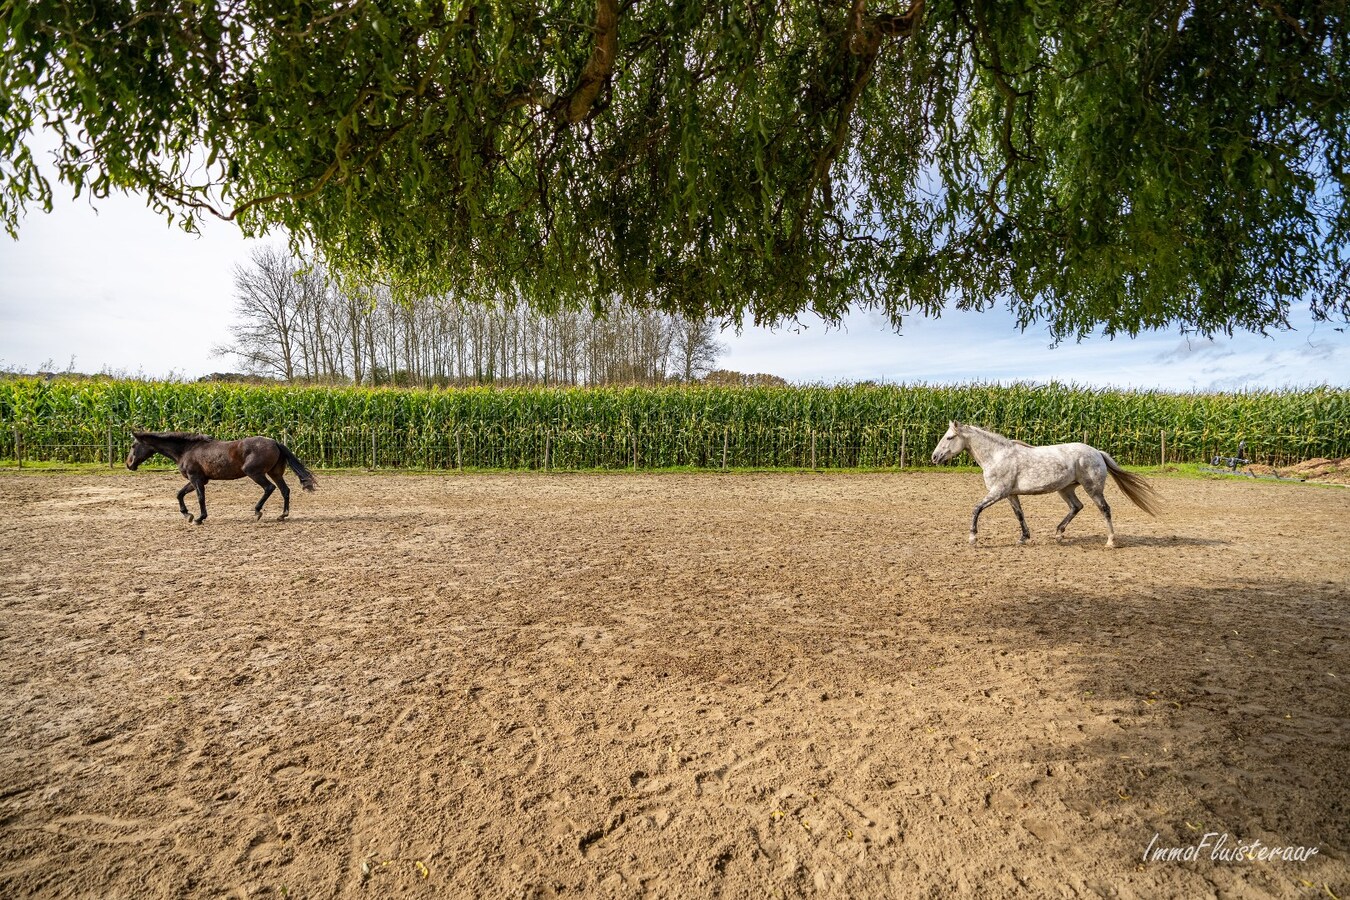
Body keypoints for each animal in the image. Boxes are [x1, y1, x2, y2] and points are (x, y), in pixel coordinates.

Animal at [126, 432, 317, 524]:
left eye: (133, 445)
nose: (129, 464)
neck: (186, 450)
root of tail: (275, 442)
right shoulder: (198, 479)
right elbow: (179, 494)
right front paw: (187, 515)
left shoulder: (196, 479)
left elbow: (200, 497)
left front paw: (199, 518)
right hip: (275, 473)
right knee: (285, 490)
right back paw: (282, 515)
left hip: (255, 473)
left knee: (269, 488)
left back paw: (257, 512)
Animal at [930, 421, 1160, 548]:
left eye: (949, 437)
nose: (934, 457)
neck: (997, 456)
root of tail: (1097, 452)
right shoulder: (1011, 494)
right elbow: (1019, 515)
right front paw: (1023, 538)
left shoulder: (998, 492)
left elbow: (976, 509)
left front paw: (972, 538)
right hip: (1065, 489)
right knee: (1077, 506)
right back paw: (1058, 533)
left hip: (1093, 488)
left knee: (1104, 509)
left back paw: (1111, 541)